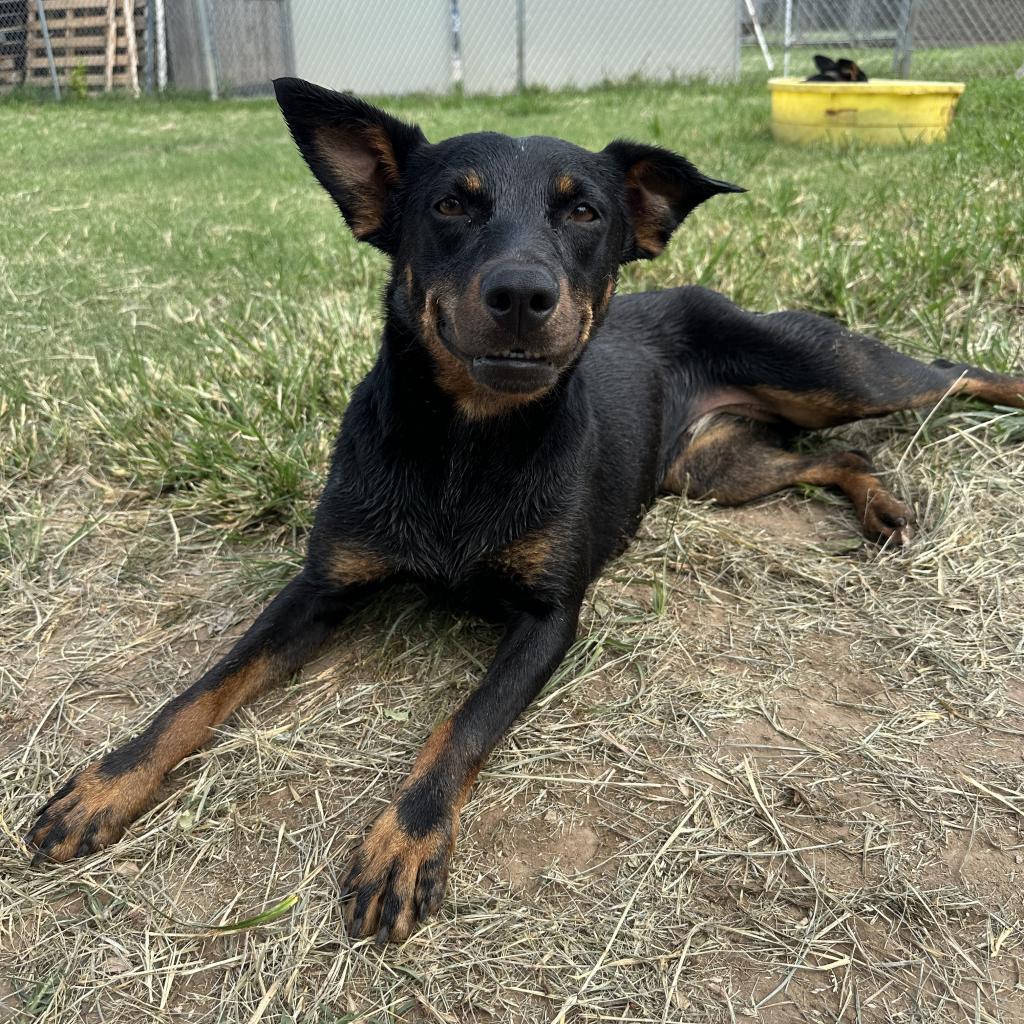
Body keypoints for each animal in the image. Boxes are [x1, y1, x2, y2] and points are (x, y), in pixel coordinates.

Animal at [28, 77, 1024, 942]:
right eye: (451, 206)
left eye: (585, 212)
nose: (520, 294)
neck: (467, 446)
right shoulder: (319, 588)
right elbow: (206, 686)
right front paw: (109, 783)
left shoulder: (549, 618)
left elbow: (461, 727)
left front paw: (404, 842)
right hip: (718, 470)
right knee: (837, 456)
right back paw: (880, 504)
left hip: (833, 376)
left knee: (947, 374)